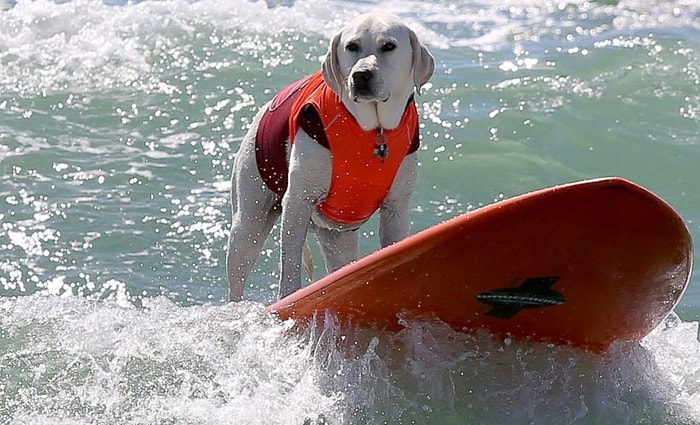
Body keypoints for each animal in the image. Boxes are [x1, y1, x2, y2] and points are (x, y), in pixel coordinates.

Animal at [226, 10, 432, 302]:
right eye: (352, 46)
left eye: (388, 46)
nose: (361, 75)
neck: (373, 131)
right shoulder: (298, 200)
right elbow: (289, 261)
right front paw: (288, 295)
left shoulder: (396, 208)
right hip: (249, 217)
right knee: (240, 265)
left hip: (338, 236)